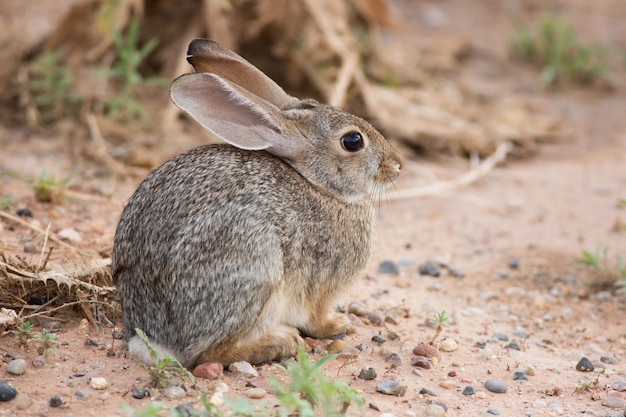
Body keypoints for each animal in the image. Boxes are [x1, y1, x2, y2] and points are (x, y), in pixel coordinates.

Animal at [112, 37, 402, 366]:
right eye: (353, 141)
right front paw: (338, 325)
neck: (321, 187)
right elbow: (316, 318)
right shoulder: (320, 287)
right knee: (208, 354)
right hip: (255, 267)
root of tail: (156, 340)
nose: (397, 164)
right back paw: (280, 342)